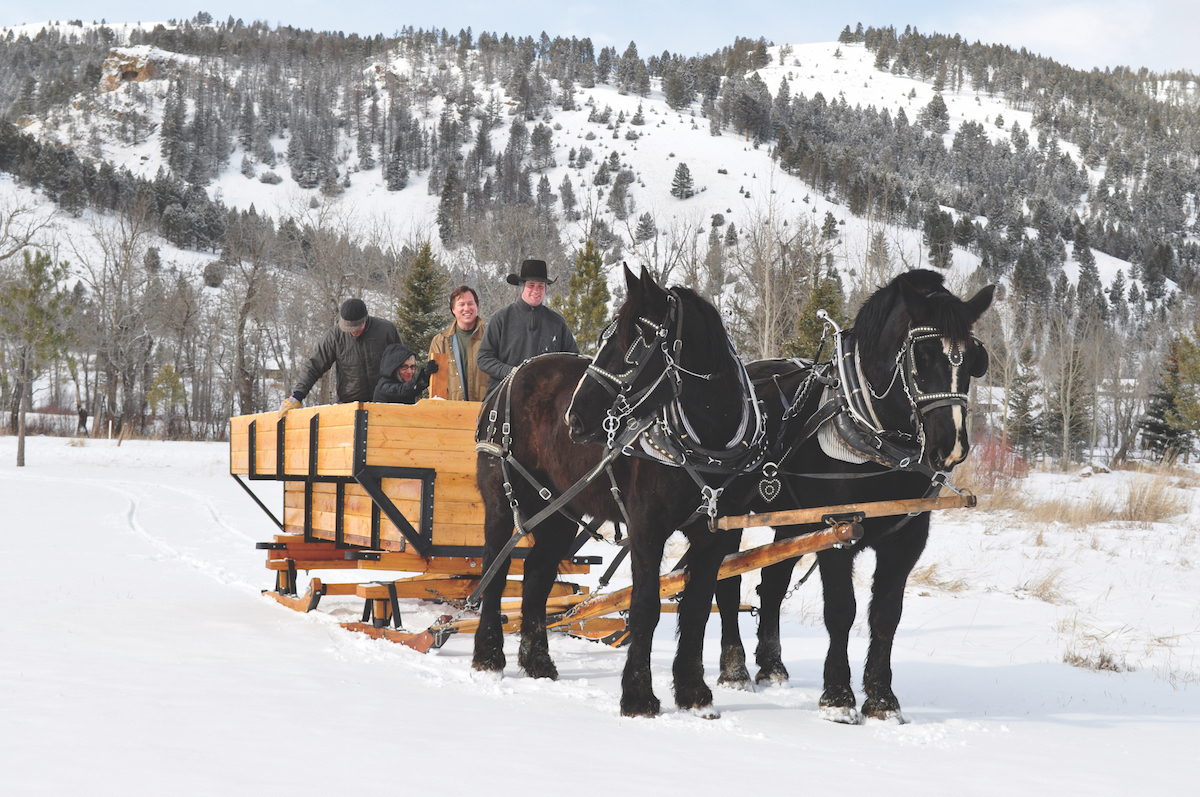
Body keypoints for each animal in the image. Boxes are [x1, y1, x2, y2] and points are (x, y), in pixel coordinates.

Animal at [472, 264, 753, 720]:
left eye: (634, 345)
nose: (574, 419)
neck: (706, 438)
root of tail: (511, 376)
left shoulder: (714, 535)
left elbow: (695, 610)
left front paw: (694, 693)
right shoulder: (647, 527)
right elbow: (646, 607)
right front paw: (638, 695)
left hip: (559, 514)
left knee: (536, 575)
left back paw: (537, 661)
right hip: (502, 502)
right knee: (494, 574)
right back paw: (487, 655)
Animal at [715, 271, 988, 724]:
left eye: (972, 359)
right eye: (923, 355)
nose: (950, 447)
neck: (874, 436)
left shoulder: (906, 540)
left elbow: (886, 615)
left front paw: (881, 699)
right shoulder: (836, 531)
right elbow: (841, 610)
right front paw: (838, 697)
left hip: (790, 521)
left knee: (770, 585)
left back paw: (771, 665)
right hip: (725, 512)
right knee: (724, 579)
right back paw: (734, 669)